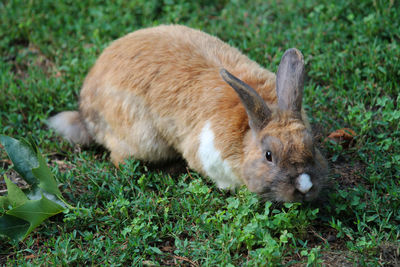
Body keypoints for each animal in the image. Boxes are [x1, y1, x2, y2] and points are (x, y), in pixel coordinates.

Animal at [48, 24, 328, 203]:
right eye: (269, 156)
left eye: (312, 146)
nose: (304, 186)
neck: (246, 134)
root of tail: (86, 112)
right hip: (141, 140)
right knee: (119, 159)